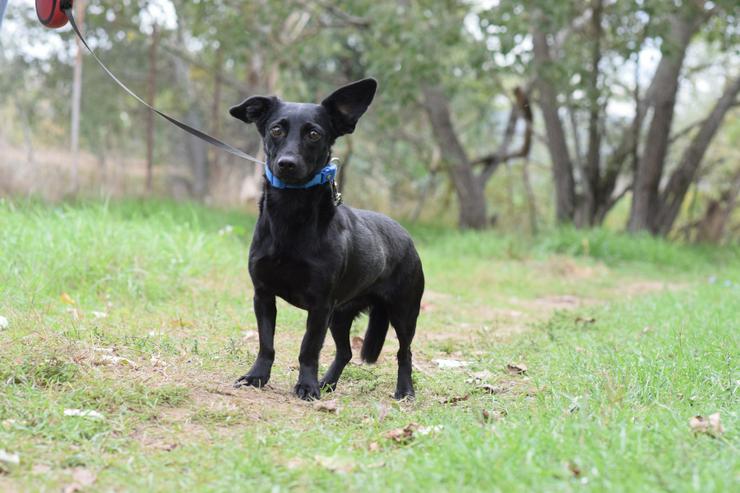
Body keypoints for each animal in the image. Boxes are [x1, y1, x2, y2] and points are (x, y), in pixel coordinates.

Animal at [231, 78, 424, 400]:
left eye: (313, 134)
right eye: (276, 130)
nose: (286, 164)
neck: (291, 217)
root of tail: (405, 235)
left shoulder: (320, 305)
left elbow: (308, 348)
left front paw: (306, 386)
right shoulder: (263, 295)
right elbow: (266, 343)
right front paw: (257, 376)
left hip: (403, 312)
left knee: (403, 352)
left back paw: (404, 390)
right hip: (341, 315)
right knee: (345, 352)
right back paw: (328, 383)